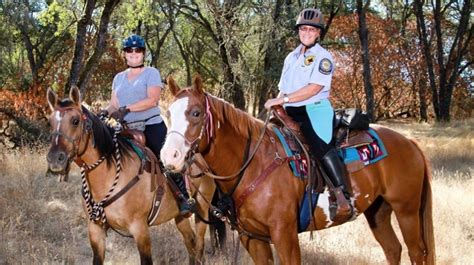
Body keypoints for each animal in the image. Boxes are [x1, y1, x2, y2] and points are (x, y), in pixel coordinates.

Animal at [46, 86, 217, 262]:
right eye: (50, 122)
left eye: (75, 121)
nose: (55, 158)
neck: (109, 175)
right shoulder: (95, 230)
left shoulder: (140, 230)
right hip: (180, 216)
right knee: (191, 243)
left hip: (202, 209)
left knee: (199, 245)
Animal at [161, 75, 436, 262]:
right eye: (169, 114)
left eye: (196, 113)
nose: (169, 156)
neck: (253, 163)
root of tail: (410, 143)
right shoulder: (252, 239)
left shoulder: (285, 236)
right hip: (378, 211)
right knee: (393, 249)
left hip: (407, 210)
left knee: (416, 251)